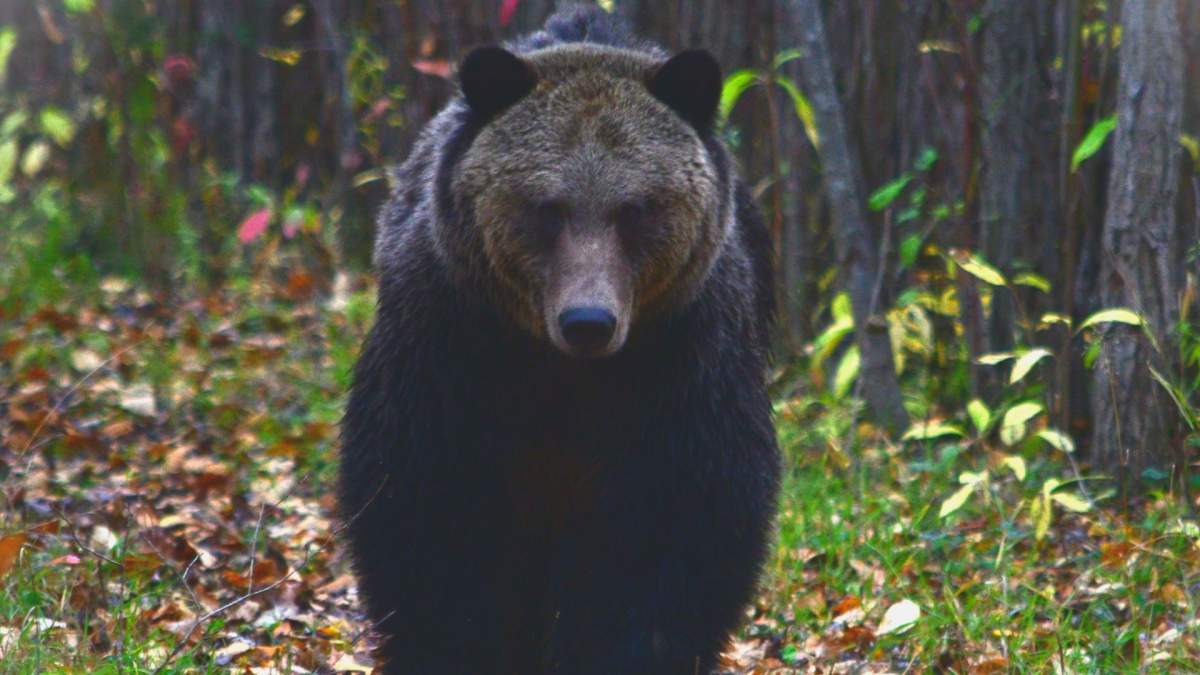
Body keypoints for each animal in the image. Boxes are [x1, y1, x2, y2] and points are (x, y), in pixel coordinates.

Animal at [339, 6, 780, 674]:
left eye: (635, 209)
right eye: (547, 208)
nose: (588, 322)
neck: (562, 373)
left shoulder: (681, 357)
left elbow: (669, 528)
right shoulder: (449, 341)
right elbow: (433, 517)